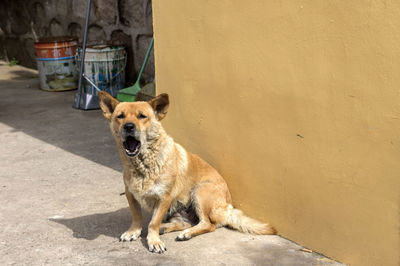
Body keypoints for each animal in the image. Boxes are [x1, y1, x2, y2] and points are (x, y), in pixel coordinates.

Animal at [98, 92, 276, 254]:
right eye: (120, 116)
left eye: (142, 116)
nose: (128, 126)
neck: (143, 164)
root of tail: (228, 207)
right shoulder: (130, 194)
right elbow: (137, 217)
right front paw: (133, 232)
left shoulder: (164, 198)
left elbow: (153, 223)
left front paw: (154, 240)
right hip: (178, 210)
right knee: (187, 222)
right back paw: (167, 228)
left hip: (200, 191)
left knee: (208, 224)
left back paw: (186, 233)